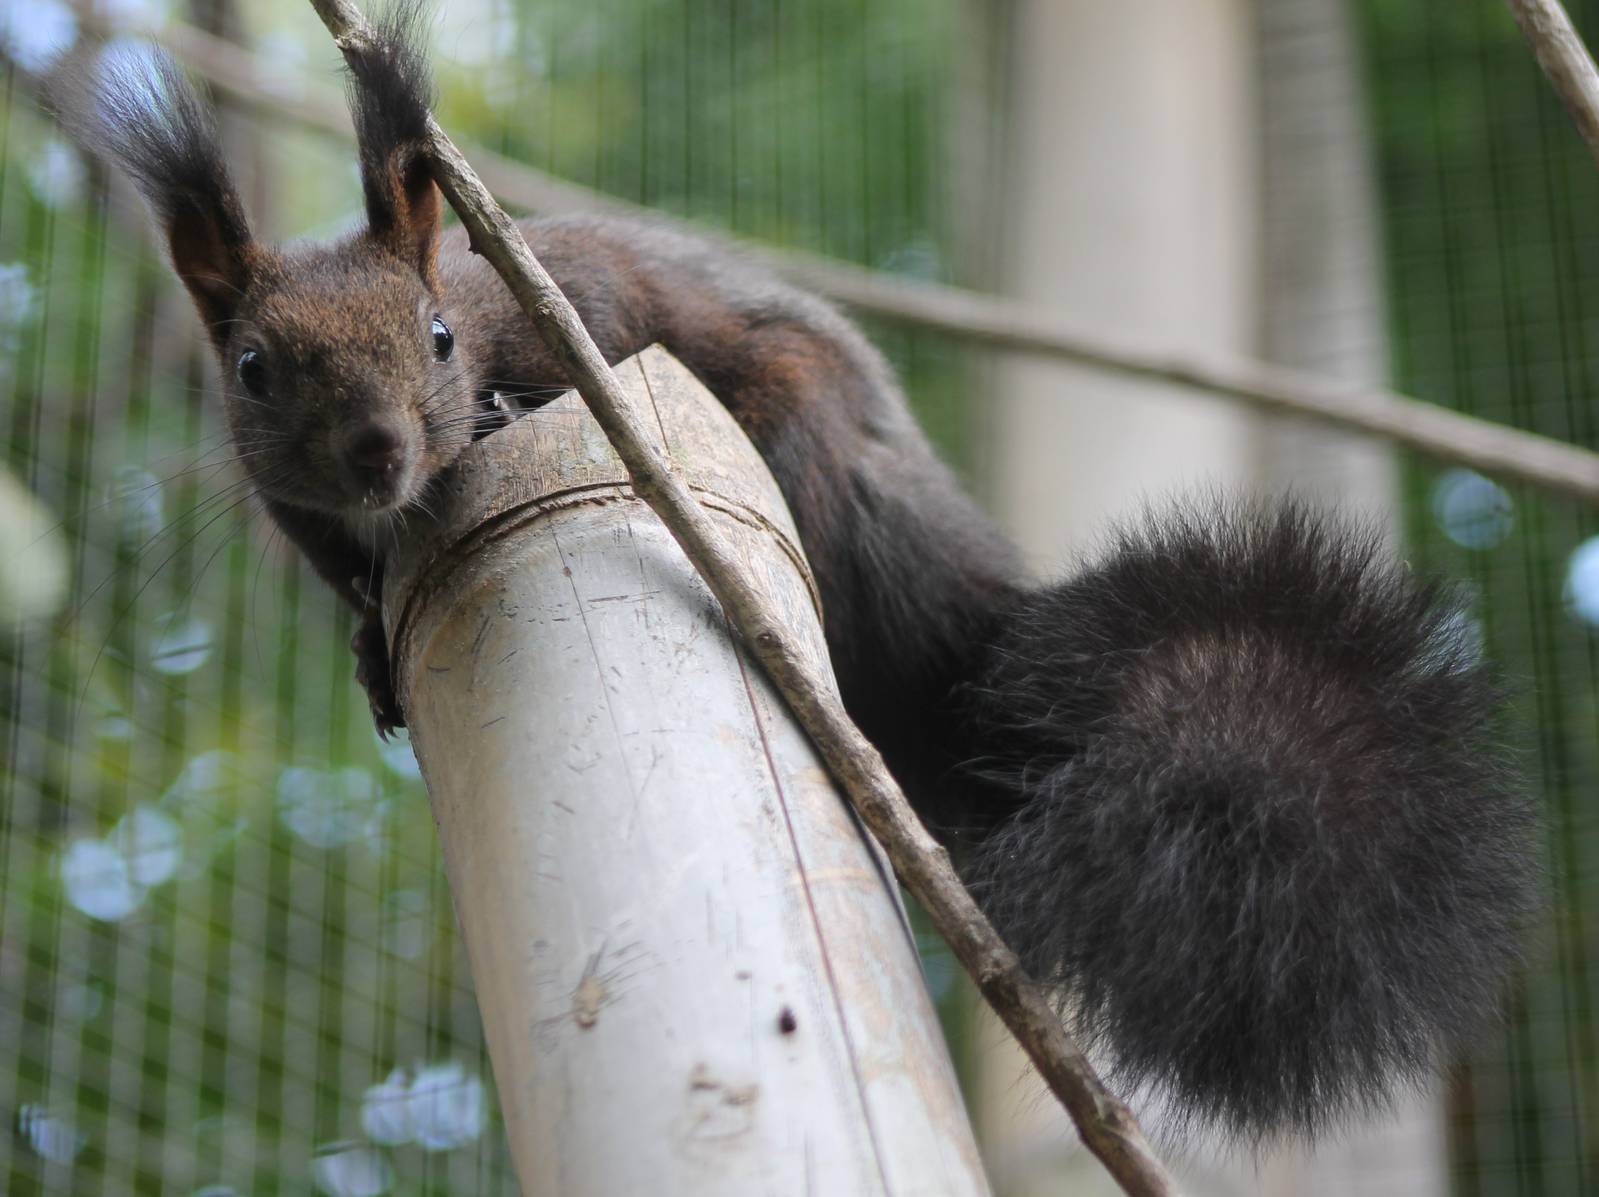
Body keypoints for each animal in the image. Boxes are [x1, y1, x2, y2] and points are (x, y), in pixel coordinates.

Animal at [62, 7, 1541, 1145]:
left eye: (436, 335)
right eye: (253, 369)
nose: (377, 452)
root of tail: (954, 630)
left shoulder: (577, 308)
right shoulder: (306, 520)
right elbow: (352, 585)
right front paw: (374, 643)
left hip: (811, 448)